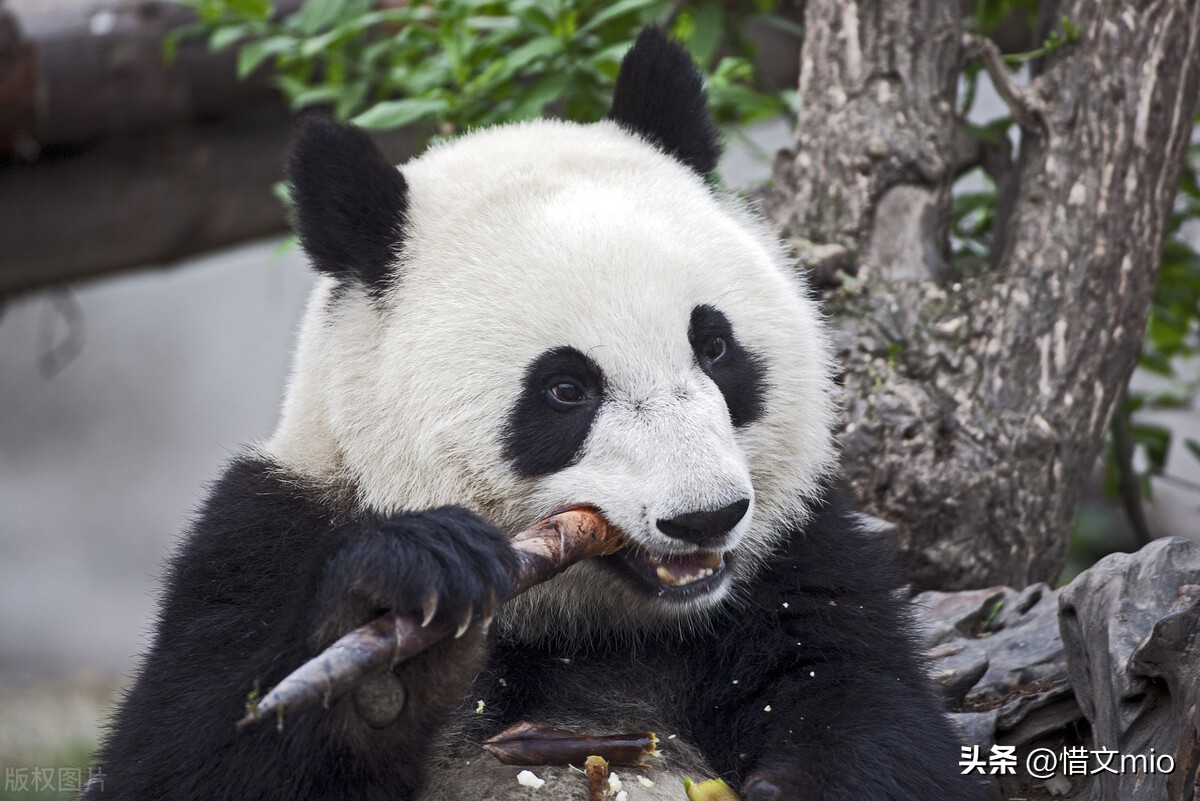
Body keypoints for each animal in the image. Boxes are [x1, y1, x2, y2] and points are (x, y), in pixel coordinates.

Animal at [82, 28, 984, 801]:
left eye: (715, 346)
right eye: (565, 389)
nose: (705, 518)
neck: (579, 622)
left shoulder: (796, 557)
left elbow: (872, 712)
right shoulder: (265, 537)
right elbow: (185, 753)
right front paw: (402, 618)